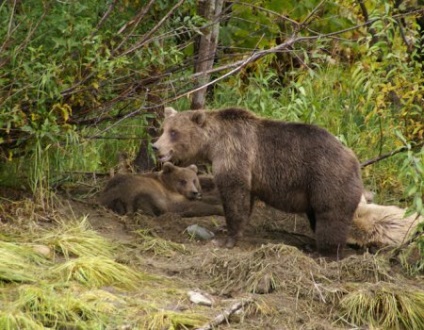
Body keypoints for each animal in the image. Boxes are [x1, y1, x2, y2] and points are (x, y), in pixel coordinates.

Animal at [154, 107, 362, 260]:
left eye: (174, 132)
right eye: (163, 129)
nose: (156, 146)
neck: (212, 143)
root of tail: (354, 159)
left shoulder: (235, 153)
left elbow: (234, 195)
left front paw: (226, 240)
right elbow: (246, 202)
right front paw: (227, 229)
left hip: (327, 178)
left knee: (330, 216)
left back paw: (325, 253)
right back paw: (312, 246)